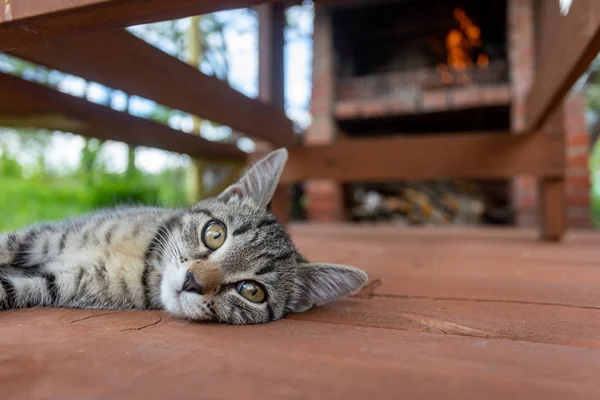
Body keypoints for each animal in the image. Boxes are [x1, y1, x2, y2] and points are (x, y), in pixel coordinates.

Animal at [0, 148, 368, 324]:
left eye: (251, 291)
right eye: (215, 233)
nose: (192, 281)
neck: (146, 259)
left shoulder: (54, 282)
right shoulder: (44, 236)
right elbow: (7, 242)